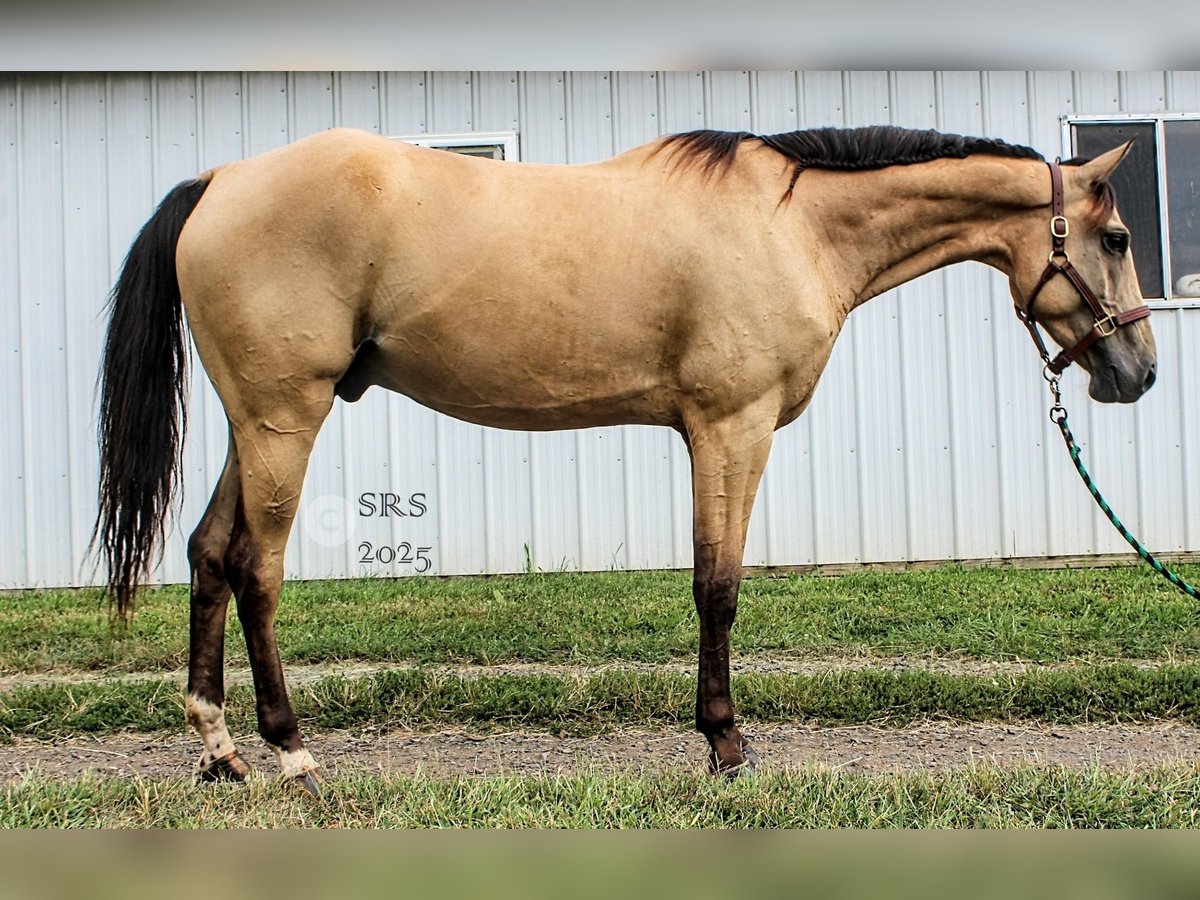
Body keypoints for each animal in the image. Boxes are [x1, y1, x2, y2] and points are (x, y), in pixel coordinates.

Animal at [94, 124, 1157, 792]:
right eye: (1114, 235)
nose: (1138, 371)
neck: (792, 225)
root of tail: (223, 179)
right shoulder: (731, 427)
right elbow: (717, 586)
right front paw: (726, 744)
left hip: (257, 425)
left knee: (208, 556)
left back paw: (219, 751)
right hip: (286, 419)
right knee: (257, 570)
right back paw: (292, 754)